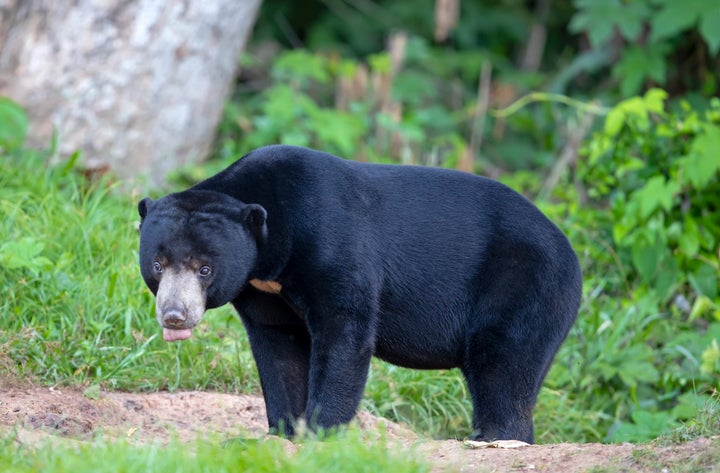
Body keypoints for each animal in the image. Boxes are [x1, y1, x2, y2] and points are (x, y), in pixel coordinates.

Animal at [138, 145, 584, 442]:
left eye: (205, 268)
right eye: (158, 264)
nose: (175, 314)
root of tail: (571, 251)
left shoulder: (331, 238)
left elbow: (344, 330)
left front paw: (320, 430)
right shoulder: (262, 289)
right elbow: (278, 345)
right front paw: (284, 430)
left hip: (526, 281)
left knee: (504, 361)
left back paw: (496, 437)